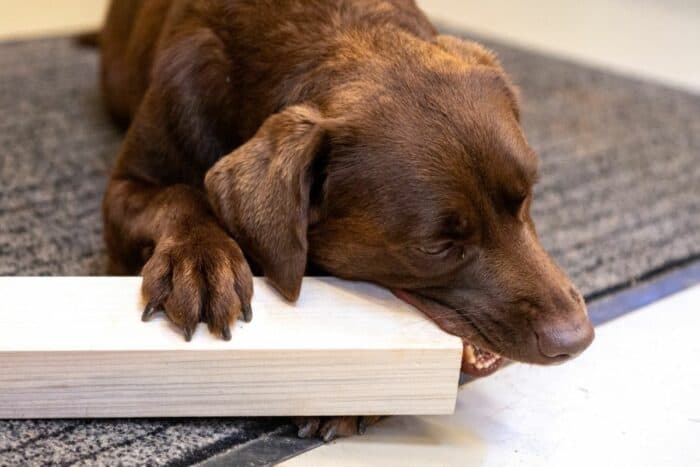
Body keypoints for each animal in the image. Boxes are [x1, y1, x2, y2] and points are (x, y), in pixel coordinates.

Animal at [98, 0, 592, 438]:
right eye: (436, 247)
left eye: (526, 197)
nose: (577, 339)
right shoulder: (127, 183)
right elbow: (179, 196)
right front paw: (200, 262)